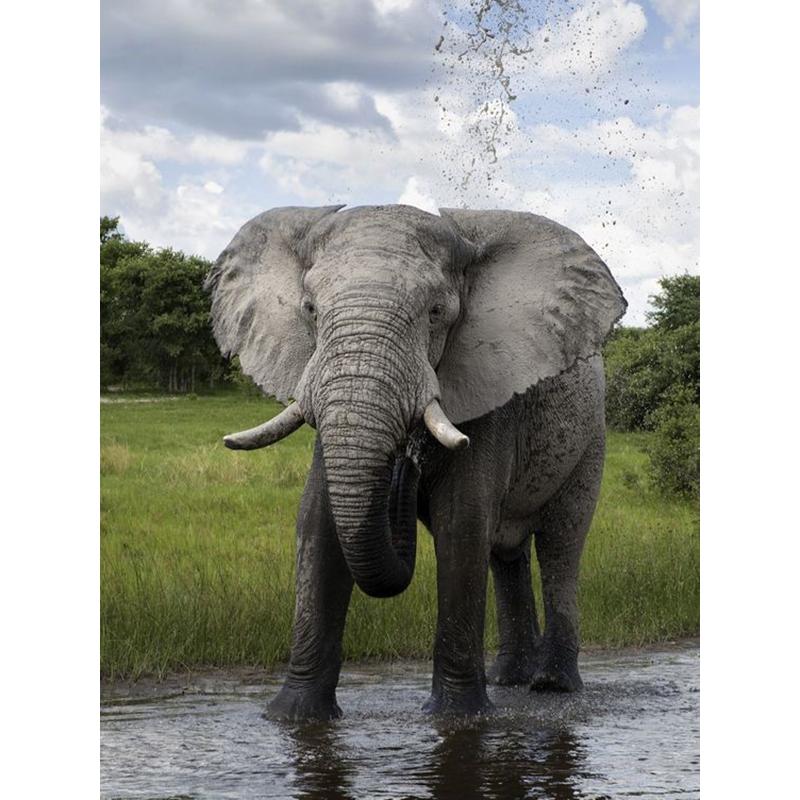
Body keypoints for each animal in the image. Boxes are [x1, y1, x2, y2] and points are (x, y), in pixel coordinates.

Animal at [205, 204, 626, 720]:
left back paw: (552, 686)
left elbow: (461, 526)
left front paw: (457, 718)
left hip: (591, 439)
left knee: (560, 544)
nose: (406, 463)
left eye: (436, 313)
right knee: (505, 555)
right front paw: (291, 716)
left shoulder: (488, 395)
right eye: (310, 310)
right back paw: (509, 679)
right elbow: (318, 526)